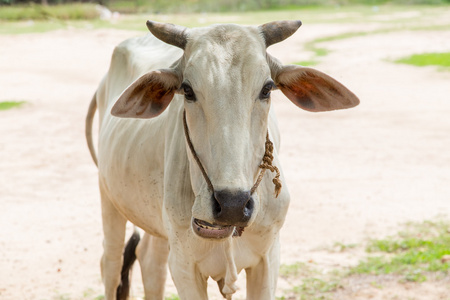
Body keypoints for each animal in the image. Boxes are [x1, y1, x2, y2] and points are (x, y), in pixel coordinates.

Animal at [84, 19, 358, 298]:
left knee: (150, 261)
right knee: (111, 263)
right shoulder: (183, 265)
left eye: (267, 88)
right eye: (187, 90)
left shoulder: (269, 258)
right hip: (108, 197)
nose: (232, 204)